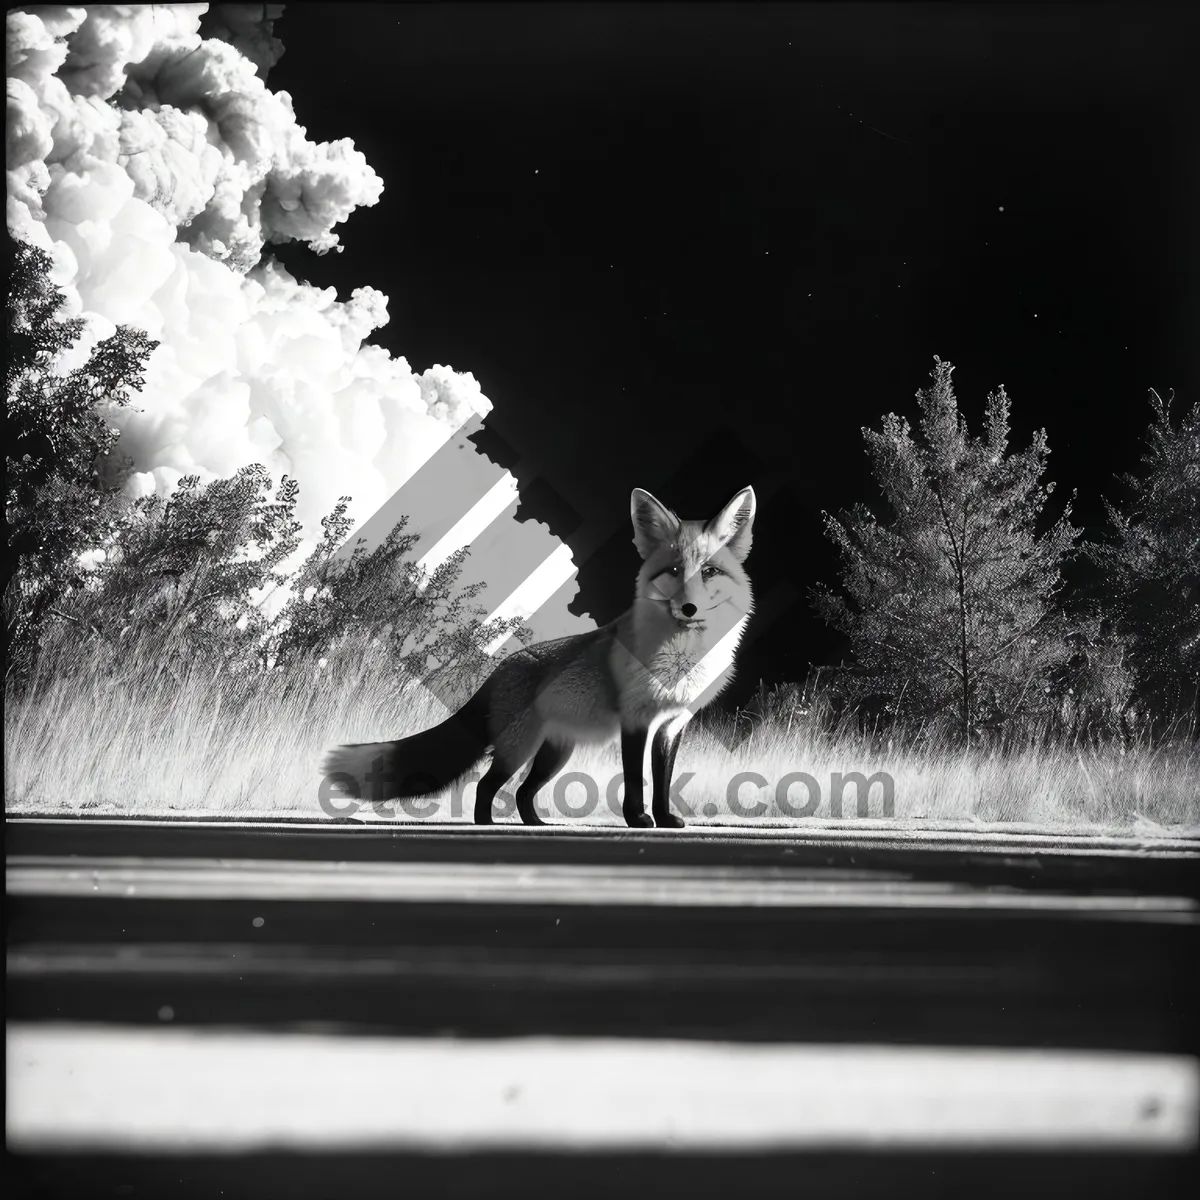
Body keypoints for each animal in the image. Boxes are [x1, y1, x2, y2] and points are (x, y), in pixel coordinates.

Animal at [324, 487, 753, 825]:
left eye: (708, 572)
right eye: (675, 571)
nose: (689, 608)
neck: (683, 658)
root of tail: (502, 666)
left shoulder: (672, 725)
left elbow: (662, 781)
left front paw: (664, 819)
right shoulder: (636, 722)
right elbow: (635, 780)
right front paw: (638, 820)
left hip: (554, 754)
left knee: (522, 793)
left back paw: (535, 824)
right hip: (519, 750)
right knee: (486, 787)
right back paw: (488, 826)